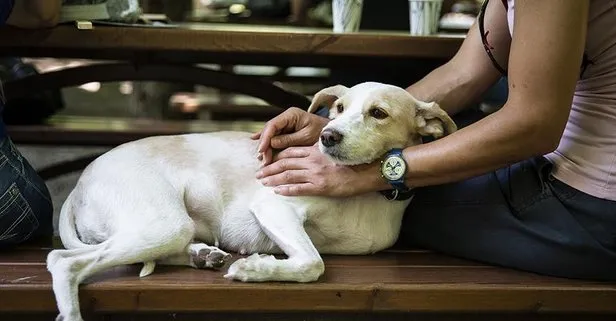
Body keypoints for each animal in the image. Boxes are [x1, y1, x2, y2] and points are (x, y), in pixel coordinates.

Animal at [45, 82, 458, 320]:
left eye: (378, 113)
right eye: (339, 107)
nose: (327, 136)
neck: (360, 190)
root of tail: (81, 181)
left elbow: (313, 261)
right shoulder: (275, 206)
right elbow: (313, 263)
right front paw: (256, 269)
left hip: (165, 229)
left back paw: (202, 255)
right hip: (164, 222)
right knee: (63, 262)